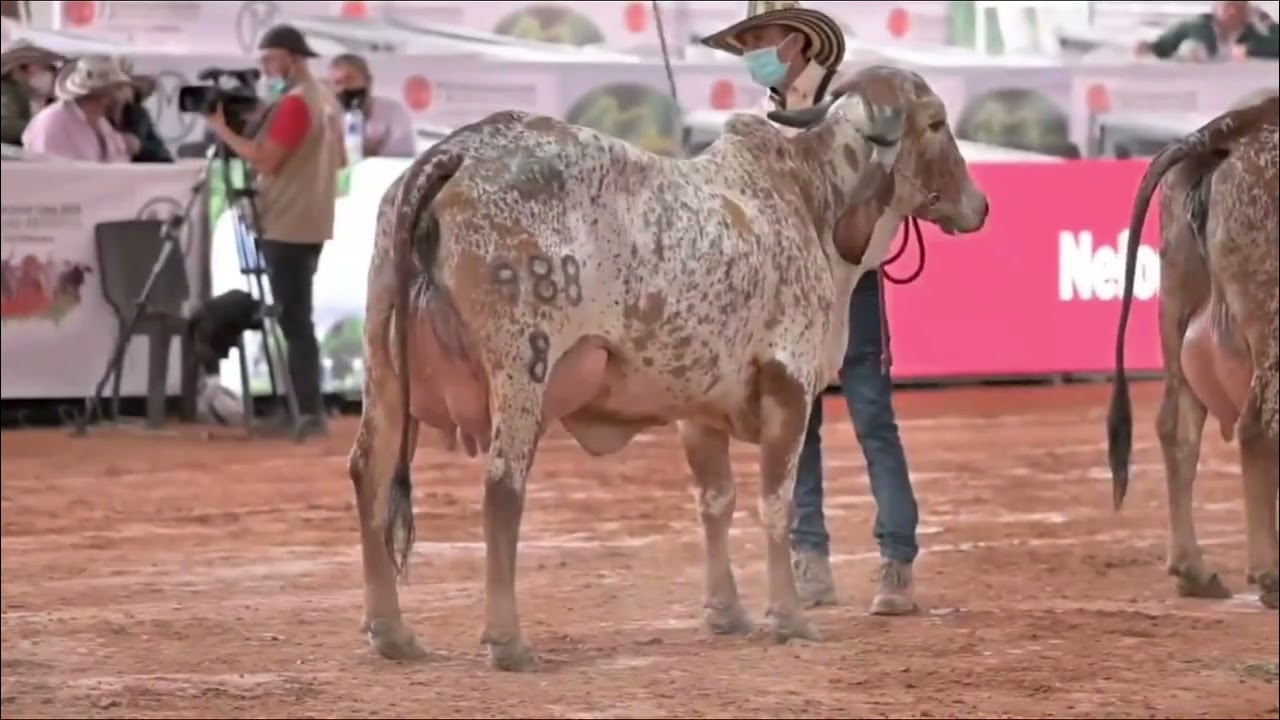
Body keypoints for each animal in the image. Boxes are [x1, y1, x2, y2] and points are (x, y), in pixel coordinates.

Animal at [347, 65, 990, 671]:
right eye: (935, 122)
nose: (980, 205)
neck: (808, 197)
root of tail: (457, 150)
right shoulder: (788, 384)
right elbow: (775, 504)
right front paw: (789, 617)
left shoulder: (698, 406)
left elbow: (717, 501)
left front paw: (726, 612)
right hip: (522, 367)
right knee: (503, 486)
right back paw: (508, 643)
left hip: (383, 370)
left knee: (369, 475)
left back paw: (392, 633)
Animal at [1107, 95, 1279, 610]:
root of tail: (1243, 122)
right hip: (1270, 316)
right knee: (1257, 428)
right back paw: (1268, 575)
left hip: (1176, 303)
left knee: (1176, 429)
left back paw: (1194, 572)